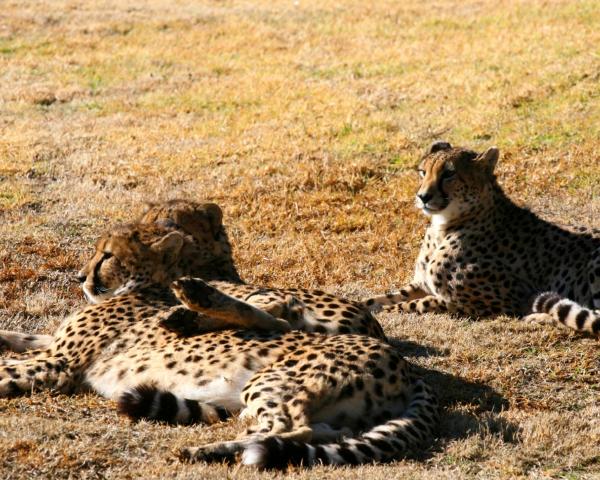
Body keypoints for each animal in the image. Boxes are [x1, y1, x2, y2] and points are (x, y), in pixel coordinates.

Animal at [0, 201, 382, 354]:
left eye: (107, 256)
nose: (80, 277)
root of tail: (370, 324)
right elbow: (35, 337)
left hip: (271, 301)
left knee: (276, 318)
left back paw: (187, 314)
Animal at [0, 219, 436, 466]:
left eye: (106, 255)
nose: (80, 277)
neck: (145, 284)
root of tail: (402, 362)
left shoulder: (58, 364)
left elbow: (6, 369)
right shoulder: (52, 347)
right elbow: (18, 337)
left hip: (273, 379)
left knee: (292, 427)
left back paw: (209, 449)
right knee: (320, 432)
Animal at [360, 139, 600, 334]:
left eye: (449, 174)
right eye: (422, 172)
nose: (423, 197)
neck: (445, 226)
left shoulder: (504, 300)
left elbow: (418, 304)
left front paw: (389, 311)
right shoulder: (421, 284)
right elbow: (380, 298)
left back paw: (538, 317)